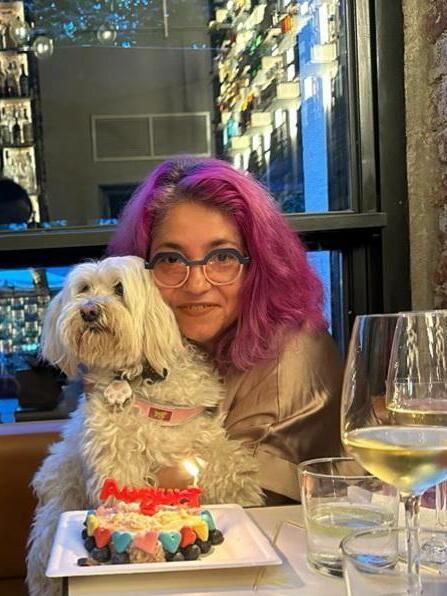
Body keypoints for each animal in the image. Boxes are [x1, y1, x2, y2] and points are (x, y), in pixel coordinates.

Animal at [27, 255, 263, 596]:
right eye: (84, 289)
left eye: (119, 288)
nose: (89, 310)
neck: (142, 378)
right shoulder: (115, 454)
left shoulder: (196, 428)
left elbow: (222, 457)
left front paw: (244, 491)